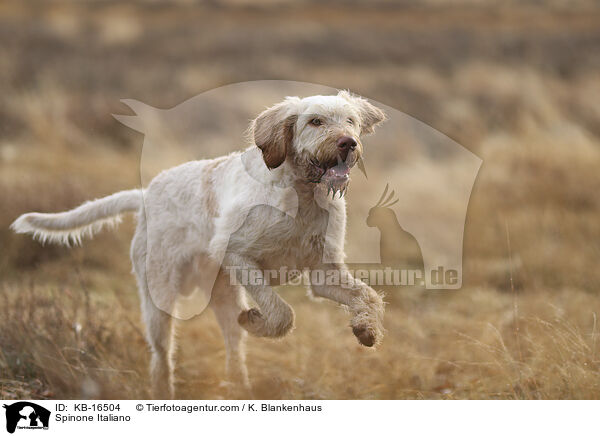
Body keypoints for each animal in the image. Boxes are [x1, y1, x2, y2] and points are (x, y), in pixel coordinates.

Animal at [11, 91, 386, 398]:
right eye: (315, 121)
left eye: (351, 121)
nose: (348, 143)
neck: (301, 195)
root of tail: (146, 193)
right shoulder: (236, 254)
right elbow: (282, 313)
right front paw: (258, 321)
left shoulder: (324, 274)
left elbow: (368, 296)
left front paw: (365, 328)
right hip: (160, 300)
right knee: (162, 357)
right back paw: (164, 393)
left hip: (223, 296)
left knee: (233, 347)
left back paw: (240, 387)